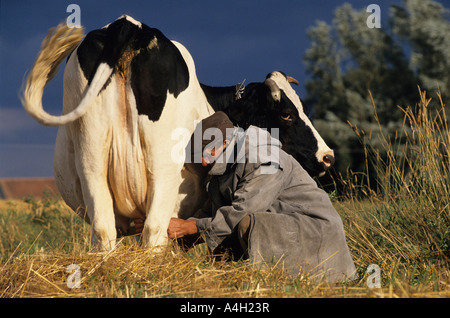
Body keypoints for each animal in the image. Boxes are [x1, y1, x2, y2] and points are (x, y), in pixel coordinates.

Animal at [22, 15, 334, 251]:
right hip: (161, 165)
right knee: (154, 232)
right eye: (286, 114)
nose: (327, 156)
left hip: (92, 156)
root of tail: (128, 24)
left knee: (104, 230)